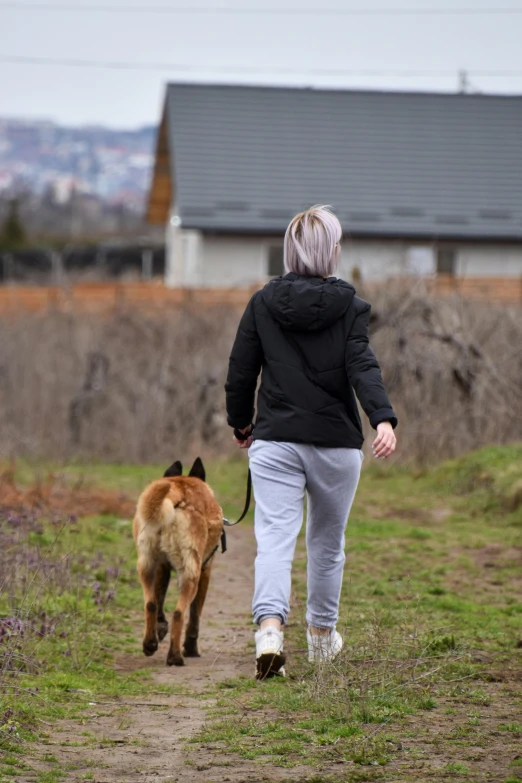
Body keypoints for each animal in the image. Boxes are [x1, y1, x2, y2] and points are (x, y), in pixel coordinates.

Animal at [132, 460, 221, 668]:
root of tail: (175, 493)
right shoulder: (205, 571)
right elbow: (195, 616)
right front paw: (191, 648)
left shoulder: (162, 567)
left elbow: (159, 601)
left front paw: (160, 629)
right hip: (190, 576)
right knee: (179, 613)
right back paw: (175, 656)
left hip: (146, 567)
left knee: (150, 604)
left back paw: (149, 643)